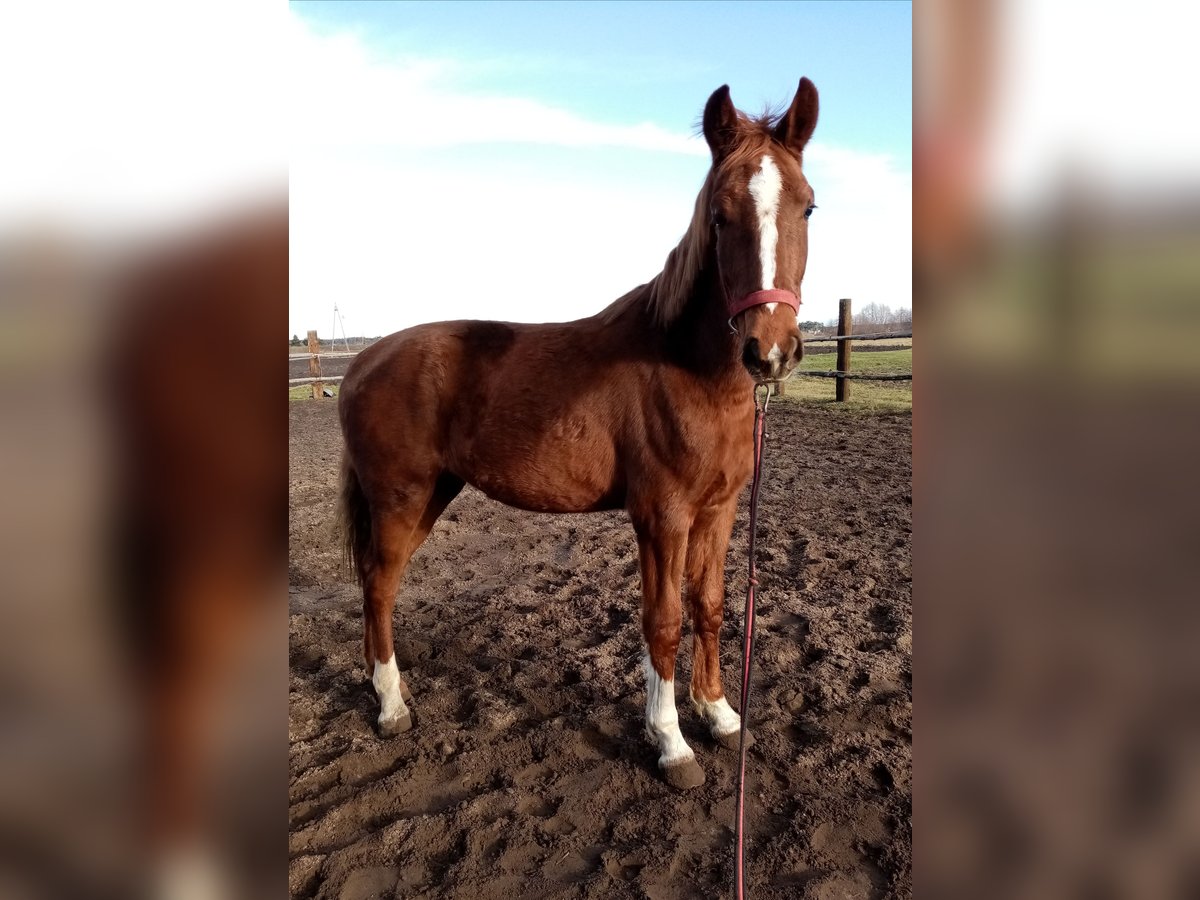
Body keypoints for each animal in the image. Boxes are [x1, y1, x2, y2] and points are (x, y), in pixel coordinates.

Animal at [343, 82, 820, 787]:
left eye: (807, 206)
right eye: (719, 216)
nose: (771, 350)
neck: (685, 367)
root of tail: (361, 361)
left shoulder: (719, 509)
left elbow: (708, 605)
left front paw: (720, 714)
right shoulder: (662, 517)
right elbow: (663, 622)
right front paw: (672, 742)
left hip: (432, 495)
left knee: (381, 585)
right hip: (401, 499)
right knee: (378, 585)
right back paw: (391, 708)